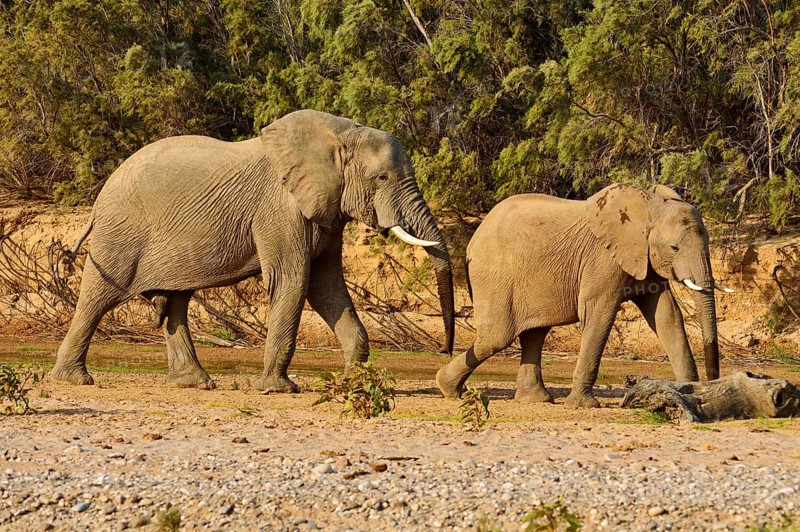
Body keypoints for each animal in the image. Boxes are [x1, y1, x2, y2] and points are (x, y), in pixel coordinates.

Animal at [51, 110, 455, 391]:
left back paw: (195, 383)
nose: (445, 352)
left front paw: (355, 382)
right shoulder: (278, 208)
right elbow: (294, 281)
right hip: (120, 235)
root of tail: (100, 196)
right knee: (98, 298)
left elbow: (326, 287)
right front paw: (276, 389)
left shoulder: (326, 211)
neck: (339, 134)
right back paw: (74, 380)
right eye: (382, 178)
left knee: (176, 302)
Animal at [436, 183, 731, 408]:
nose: (712, 380)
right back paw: (447, 388)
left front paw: (688, 390)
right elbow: (599, 315)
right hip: (494, 275)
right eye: (674, 247)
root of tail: (473, 238)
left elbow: (667, 317)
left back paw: (535, 400)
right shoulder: (603, 259)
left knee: (533, 334)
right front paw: (583, 405)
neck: (649, 207)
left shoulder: (645, 259)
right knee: (497, 337)